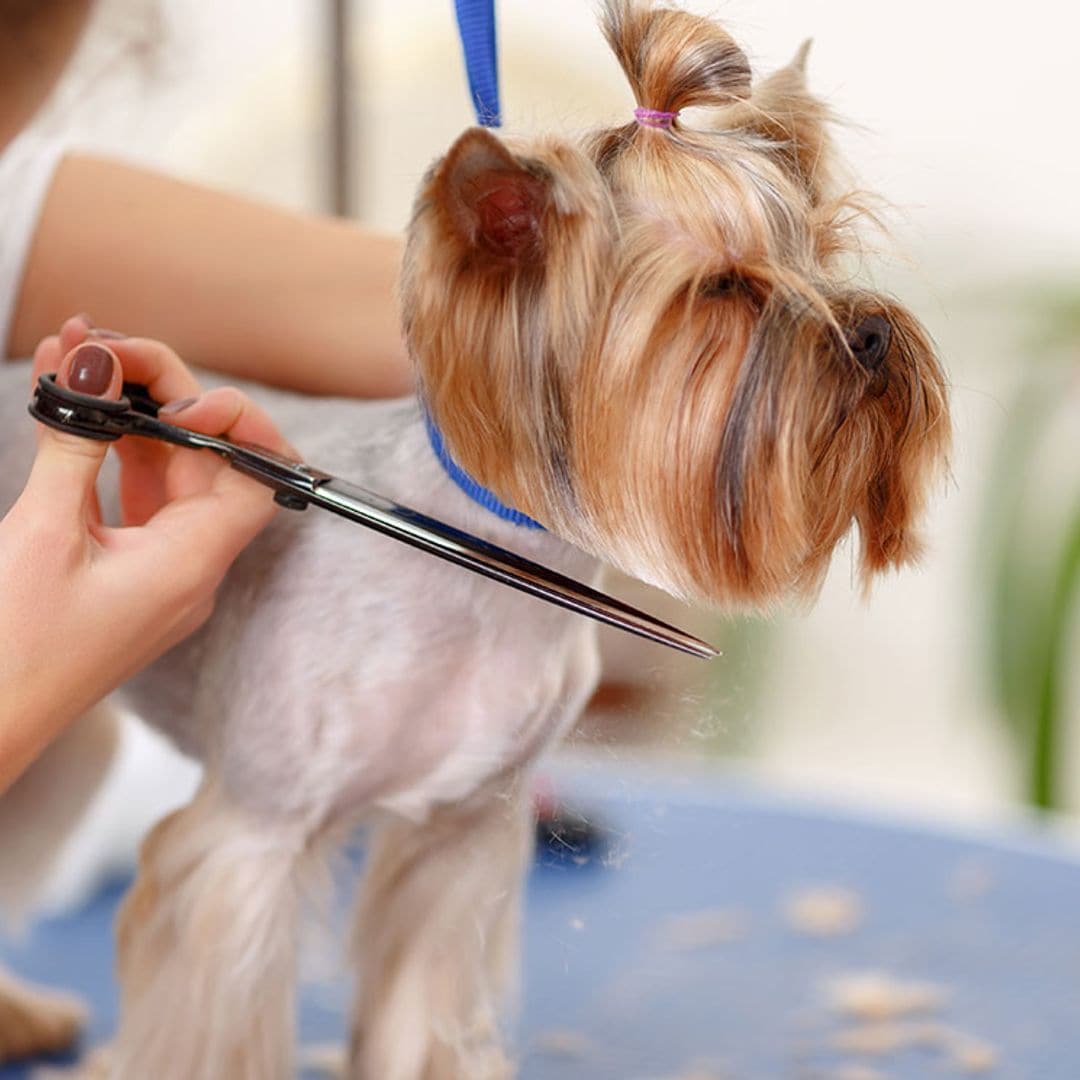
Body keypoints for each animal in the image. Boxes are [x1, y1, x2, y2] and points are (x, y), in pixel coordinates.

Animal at [0, 4, 946, 1075]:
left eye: (823, 246)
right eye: (722, 290)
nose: (872, 333)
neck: (477, 568)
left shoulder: (457, 841)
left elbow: (417, 1013)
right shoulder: (247, 843)